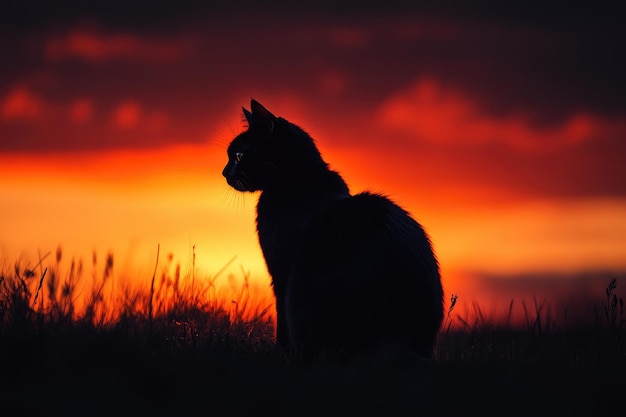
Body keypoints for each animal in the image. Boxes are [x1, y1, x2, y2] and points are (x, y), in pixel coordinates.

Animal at [222, 98, 442, 360]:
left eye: (238, 155)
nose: (224, 172)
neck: (298, 180)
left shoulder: (280, 273)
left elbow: (281, 321)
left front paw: (282, 353)